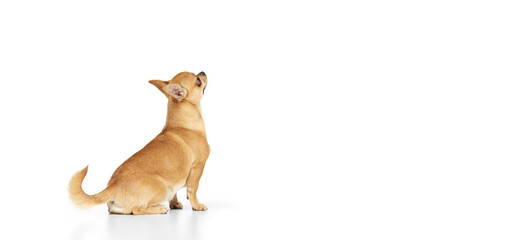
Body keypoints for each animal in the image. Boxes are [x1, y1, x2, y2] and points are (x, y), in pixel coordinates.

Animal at [69, 71, 211, 214]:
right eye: (198, 81)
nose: (202, 72)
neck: (182, 124)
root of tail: (112, 186)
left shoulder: (174, 181)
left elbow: (176, 193)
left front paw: (175, 204)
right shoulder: (198, 167)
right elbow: (193, 189)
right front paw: (197, 206)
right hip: (162, 187)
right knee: (137, 210)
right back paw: (160, 209)